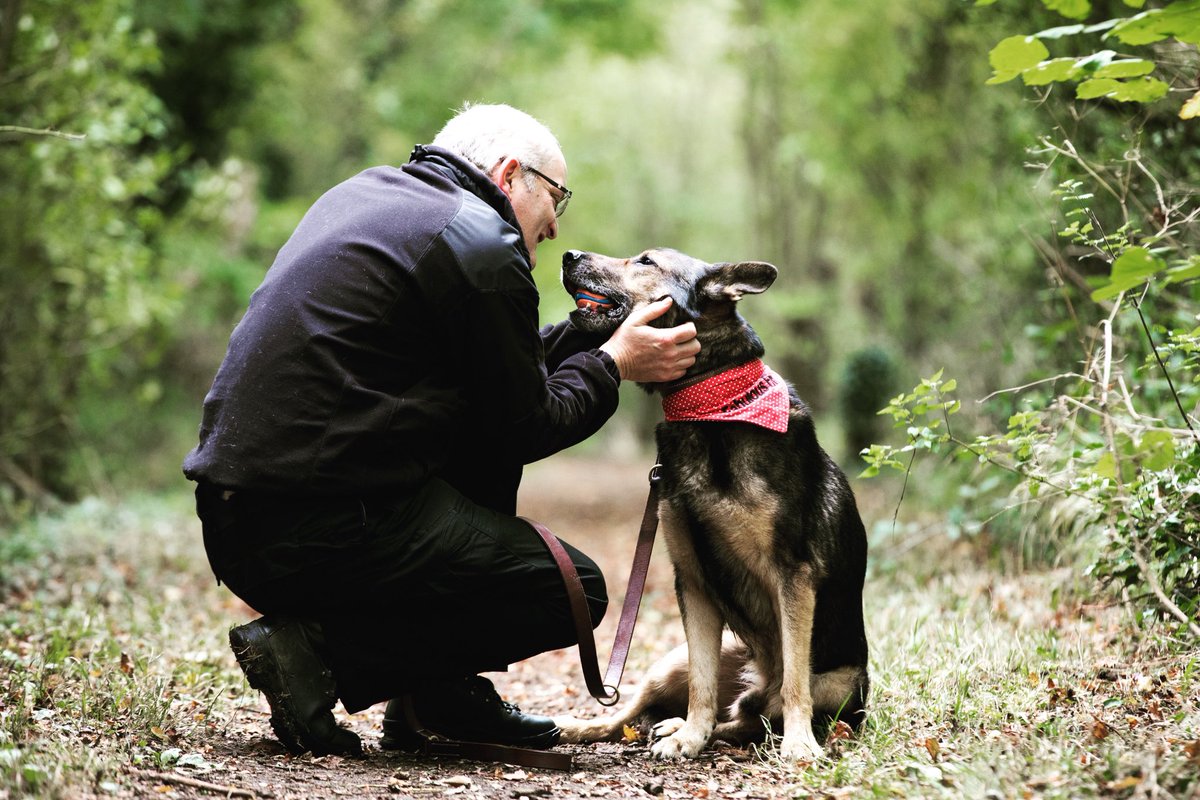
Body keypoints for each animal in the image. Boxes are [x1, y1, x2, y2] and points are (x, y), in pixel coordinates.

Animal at [552, 248, 873, 762]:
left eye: (645, 261)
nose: (569, 254)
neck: (710, 409)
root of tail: (753, 679)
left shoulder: (793, 574)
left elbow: (795, 681)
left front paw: (800, 744)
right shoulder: (692, 579)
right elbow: (701, 687)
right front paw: (689, 737)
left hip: (840, 683)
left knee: (754, 715)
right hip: (673, 661)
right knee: (633, 713)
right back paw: (601, 727)